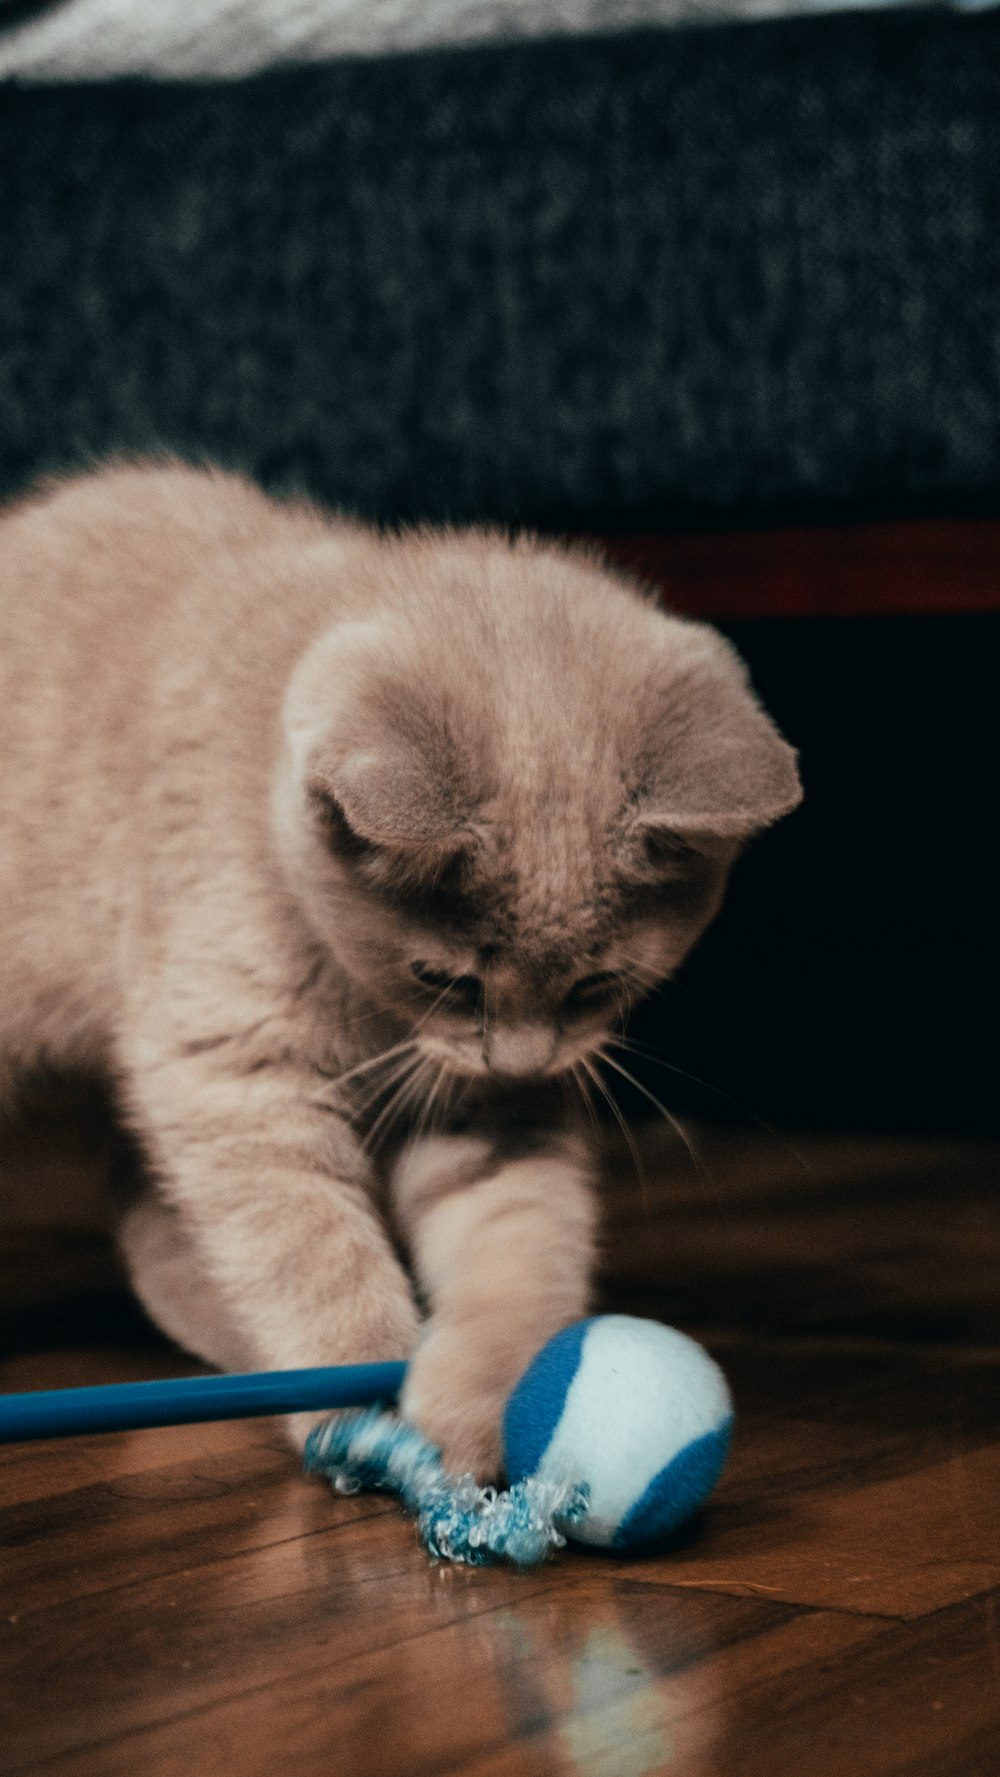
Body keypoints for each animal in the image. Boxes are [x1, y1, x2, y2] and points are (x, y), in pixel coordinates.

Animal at [0, 458, 802, 1471]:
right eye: (444, 978)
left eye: (595, 985)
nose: (520, 1058)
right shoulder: (235, 1066)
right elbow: (311, 1246)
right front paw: (358, 1381)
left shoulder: (491, 1112)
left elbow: (518, 1246)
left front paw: (484, 1405)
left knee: (150, 1217)